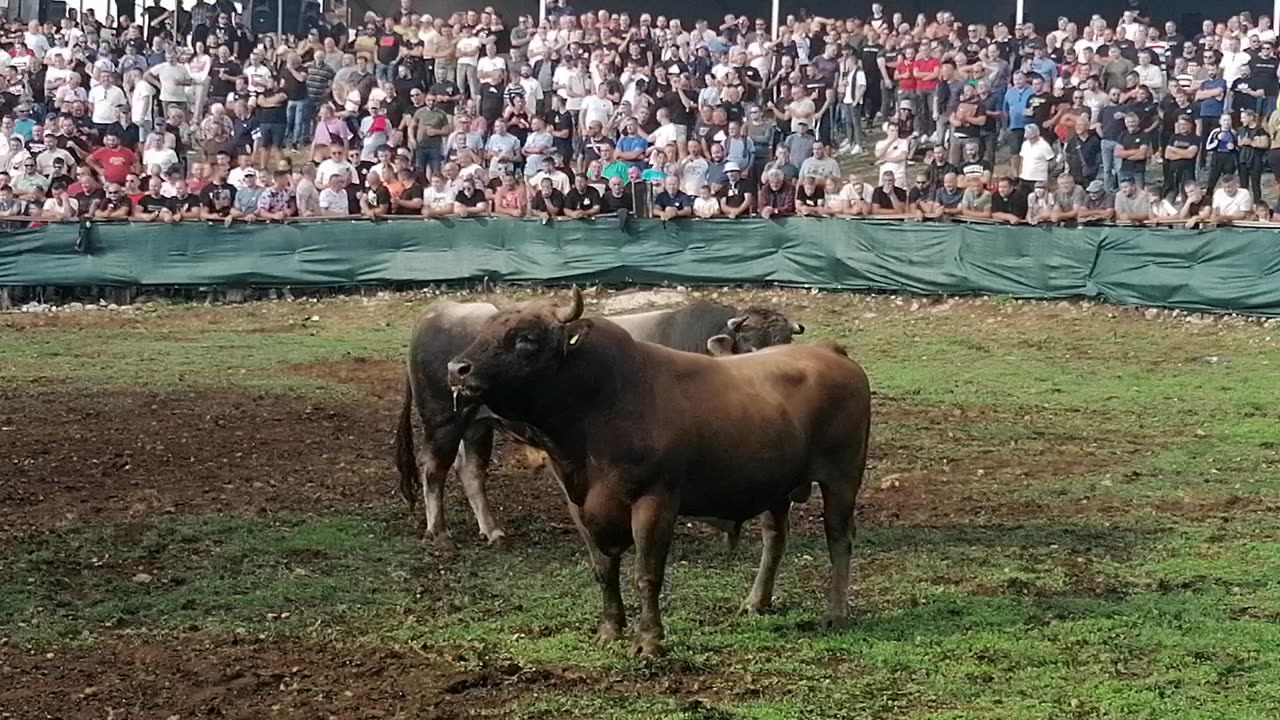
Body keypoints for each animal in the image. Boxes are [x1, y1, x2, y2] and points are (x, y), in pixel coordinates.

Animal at [394, 298, 803, 543]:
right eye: (751, 344)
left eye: (785, 339)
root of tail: (434, 314)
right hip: (442, 419)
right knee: (434, 469)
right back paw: (439, 533)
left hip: (476, 424)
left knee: (470, 471)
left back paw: (492, 530)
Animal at [445, 286, 875, 655]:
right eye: (486, 330)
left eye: (526, 339)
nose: (456, 368)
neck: (597, 409)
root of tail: (830, 351)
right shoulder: (578, 503)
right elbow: (604, 569)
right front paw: (610, 630)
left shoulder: (655, 501)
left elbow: (647, 574)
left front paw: (649, 640)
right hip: (776, 487)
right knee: (775, 538)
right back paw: (756, 601)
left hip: (842, 478)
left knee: (839, 538)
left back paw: (835, 612)